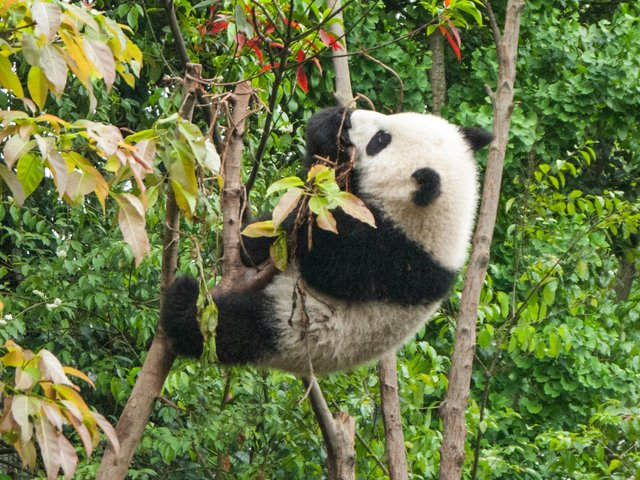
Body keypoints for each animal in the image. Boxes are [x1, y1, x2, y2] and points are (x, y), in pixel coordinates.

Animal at [162, 108, 492, 376]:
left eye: (380, 140)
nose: (352, 117)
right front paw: (329, 124)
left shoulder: (394, 259)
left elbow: (326, 262)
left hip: (291, 329)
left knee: (230, 328)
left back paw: (183, 302)